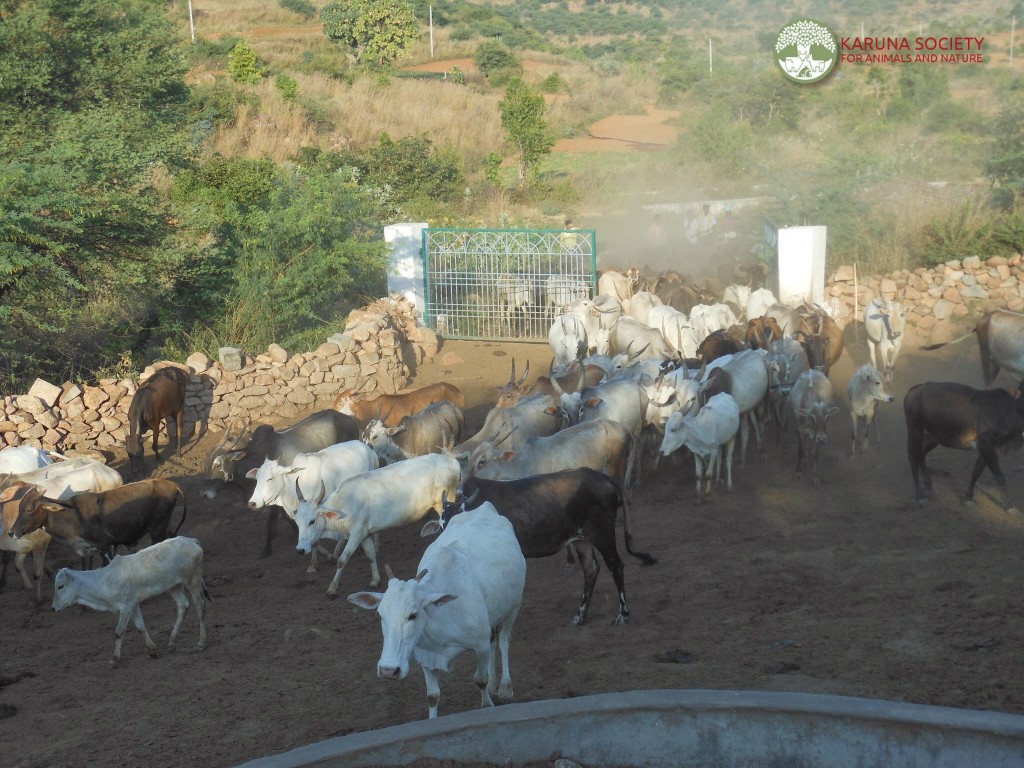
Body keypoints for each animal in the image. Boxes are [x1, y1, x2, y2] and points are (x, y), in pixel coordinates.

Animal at [50, 536, 208, 667]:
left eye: (60, 586)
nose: (53, 608)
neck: (105, 581)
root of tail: (191, 540)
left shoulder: (126, 607)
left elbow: (119, 631)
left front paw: (114, 660)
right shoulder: (133, 605)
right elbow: (140, 626)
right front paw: (152, 650)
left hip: (193, 580)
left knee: (200, 606)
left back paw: (201, 643)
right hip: (174, 586)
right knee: (183, 605)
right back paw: (172, 641)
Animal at [292, 454, 460, 598]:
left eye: (312, 521)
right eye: (298, 522)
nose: (300, 549)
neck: (344, 503)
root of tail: (453, 461)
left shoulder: (357, 533)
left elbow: (342, 560)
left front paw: (332, 589)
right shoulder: (366, 534)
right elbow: (371, 556)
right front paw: (375, 581)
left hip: (444, 504)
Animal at [352, 505, 528, 720]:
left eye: (413, 615)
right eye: (380, 615)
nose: (388, 670)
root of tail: (485, 506)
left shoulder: (480, 646)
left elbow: (480, 680)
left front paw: (488, 705)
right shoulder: (424, 654)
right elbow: (433, 696)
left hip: (515, 603)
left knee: (503, 641)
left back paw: (504, 687)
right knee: (495, 640)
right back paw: (495, 684)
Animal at [432, 468, 655, 626]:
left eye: (458, 522)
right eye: (442, 526)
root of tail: (600, 476)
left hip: (602, 533)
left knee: (615, 565)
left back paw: (623, 615)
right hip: (581, 539)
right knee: (591, 569)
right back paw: (579, 616)